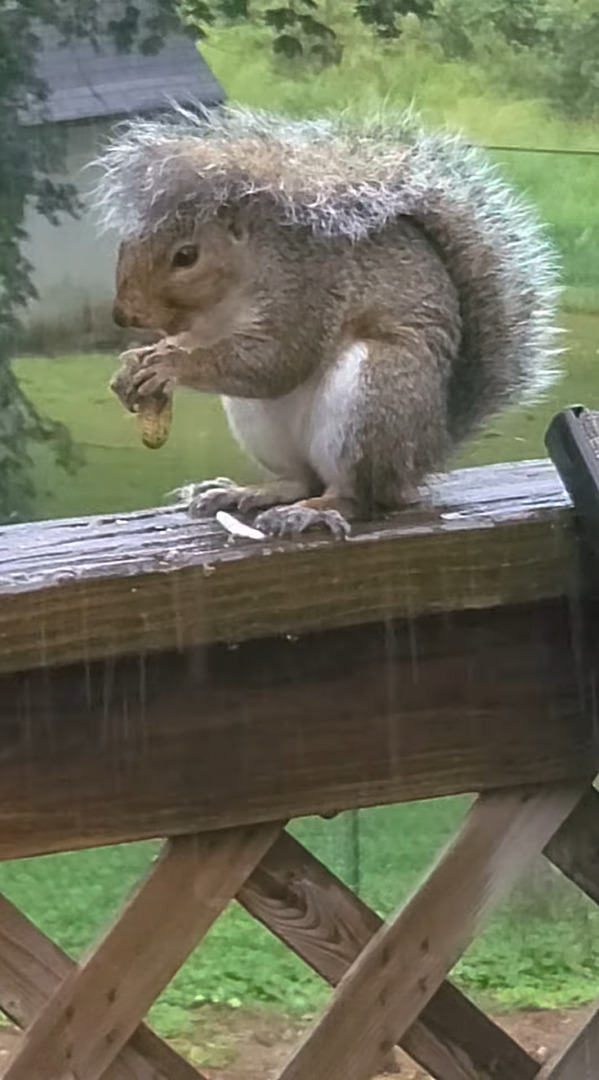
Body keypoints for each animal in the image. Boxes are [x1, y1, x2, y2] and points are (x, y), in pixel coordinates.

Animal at [94, 107, 561, 537]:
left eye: (186, 256)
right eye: (127, 243)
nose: (124, 314)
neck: (229, 297)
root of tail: (428, 451)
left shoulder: (307, 292)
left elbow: (276, 362)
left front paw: (171, 364)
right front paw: (132, 366)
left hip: (375, 397)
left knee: (356, 496)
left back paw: (310, 512)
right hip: (259, 424)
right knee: (300, 479)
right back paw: (249, 492)